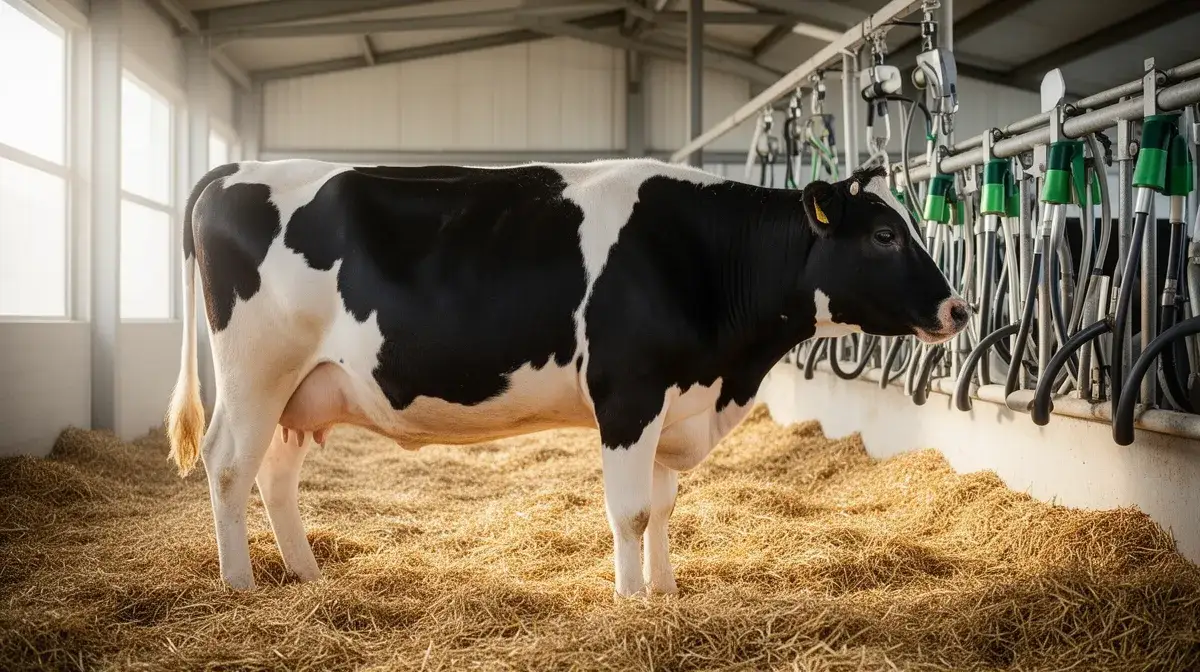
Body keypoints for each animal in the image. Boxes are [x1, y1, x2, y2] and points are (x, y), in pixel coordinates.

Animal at [166, 158, 969, 597]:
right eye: (885, 234)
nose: (959, 308)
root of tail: (237, 170)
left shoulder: (674, 402)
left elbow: (664, 508)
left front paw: (666, 592)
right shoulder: (630, 394)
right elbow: (632, 512)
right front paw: (631, 602)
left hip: (303, 390)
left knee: (275, 475)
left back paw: (306, 576)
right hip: (255, 371)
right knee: (229, 466)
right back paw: (239, 585)